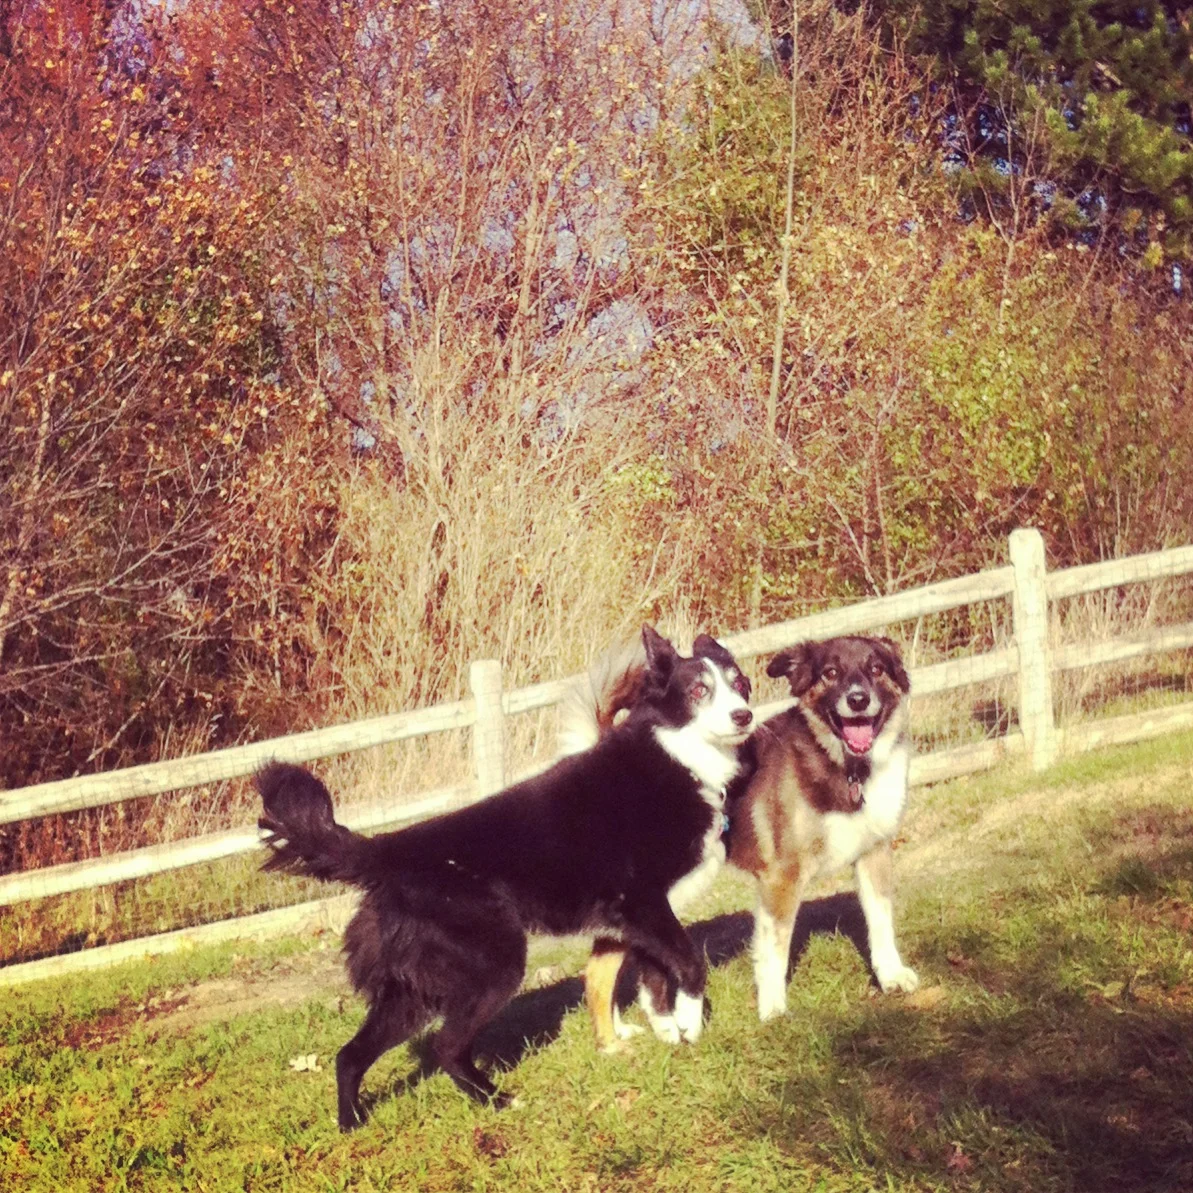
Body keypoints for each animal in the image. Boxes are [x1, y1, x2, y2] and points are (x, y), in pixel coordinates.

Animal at [256, 626, 753, 1127]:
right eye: (698, 691)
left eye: (739, 683)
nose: (744, 715)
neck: (675, 753)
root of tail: (388, 850)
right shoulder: (644, 905)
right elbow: (689, 965)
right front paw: (692, 1025)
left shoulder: (643, 920)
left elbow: (655, 983)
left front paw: (669, 1034)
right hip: (494, 966)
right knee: (445, 1047)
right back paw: (495, 1100)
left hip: (414, 991)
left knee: (350, 1055)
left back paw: (352, 1123)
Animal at [729, 635, 919, 1020]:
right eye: (830, 673)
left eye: (876, 668)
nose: (858, 699)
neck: (848, 768)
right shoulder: (781, 878)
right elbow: (775, 948)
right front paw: (773, 1009)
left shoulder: (875, 852)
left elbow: (881, 920)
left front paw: (890, 976)